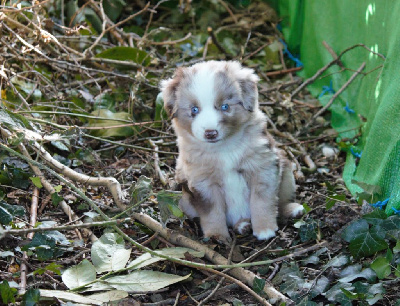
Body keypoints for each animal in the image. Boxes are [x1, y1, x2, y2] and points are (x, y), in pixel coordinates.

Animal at [159, 61, 304, 243]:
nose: (210, 133)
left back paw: (291, 209)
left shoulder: (263, 167)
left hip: (286, 170)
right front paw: (216, 235)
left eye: (225, 106)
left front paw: (265, 229)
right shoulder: (203, 183)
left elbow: (262, 201)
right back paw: (242, 225)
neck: (223, 148)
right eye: (194, 109)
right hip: (184, 202)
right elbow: (212, 212)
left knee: (281, 200)